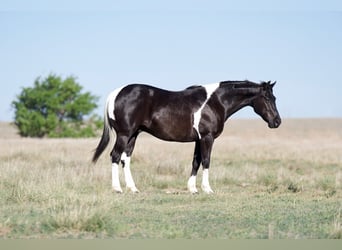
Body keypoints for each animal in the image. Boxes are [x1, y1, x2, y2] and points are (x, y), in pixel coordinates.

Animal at [92, 80, 282, 193]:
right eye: (267, 98)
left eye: (274, 97)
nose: (277, 121)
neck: (216, 102)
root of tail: (116, 93)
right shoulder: (207, 138)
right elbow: (206, 161)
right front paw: (207, 189)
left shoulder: (198, 139)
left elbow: (196, 161)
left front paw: (192, 189)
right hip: (124, 134)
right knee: (115, 156)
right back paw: (117, 188)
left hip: (133, 135)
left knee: (126, 159)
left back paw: (133, 188)